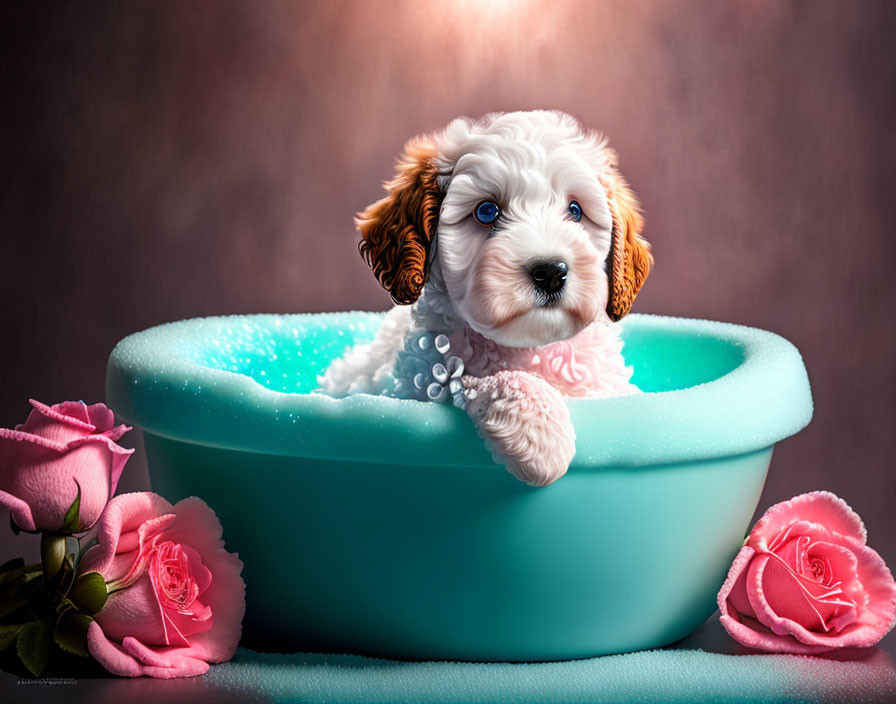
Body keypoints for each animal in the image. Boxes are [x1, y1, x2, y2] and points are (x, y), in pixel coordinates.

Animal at [320, 110, 652, 486]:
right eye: (486, 212)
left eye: (575, 211)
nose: (551, 271)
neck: (531, 347)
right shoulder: (424, 379)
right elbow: (482, 377)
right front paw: (541, 436)